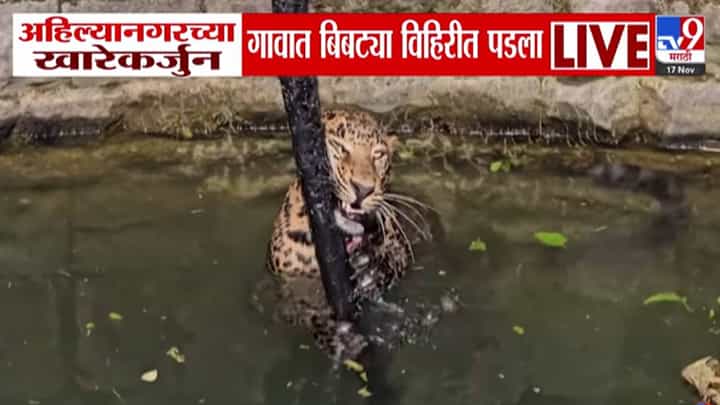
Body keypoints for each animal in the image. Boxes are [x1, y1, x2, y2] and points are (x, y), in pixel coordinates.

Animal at [263, 109, 431, 363]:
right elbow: (304, 310)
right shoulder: (286, 289)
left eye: (378, 154)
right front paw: (337, 336)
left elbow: (392, 262)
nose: (363, 189)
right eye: (339, 147)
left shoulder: (399, 249)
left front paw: (369, 270)